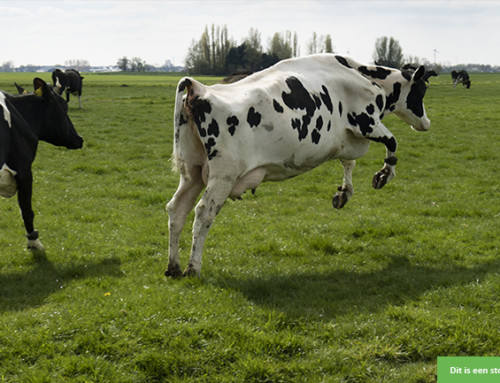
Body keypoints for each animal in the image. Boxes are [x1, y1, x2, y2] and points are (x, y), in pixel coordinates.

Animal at [166, 54, 432, 278]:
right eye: (420, 91)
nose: (426, 123)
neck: (361, 75)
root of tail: (198, 88)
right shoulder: (365, 122)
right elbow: (392, 142)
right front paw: (384, 174)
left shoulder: (345, 139)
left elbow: (349, 162)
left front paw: (343, 193)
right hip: (223, 176)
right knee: (203, 213)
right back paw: (193, 268)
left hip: (192, 174)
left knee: (176, 210)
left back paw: (173, 267)